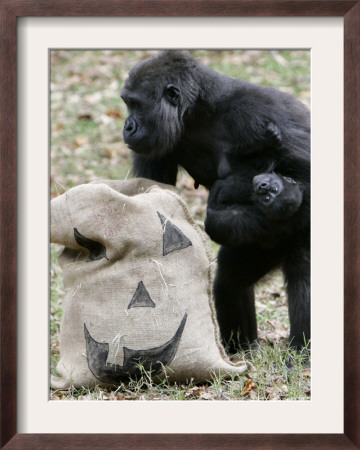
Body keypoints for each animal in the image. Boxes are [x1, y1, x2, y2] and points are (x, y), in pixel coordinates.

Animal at [120, 50, 310, 352]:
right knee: (231, 282)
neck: (199, 110)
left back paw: (300, 353)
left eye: (136, 104)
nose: (127, 126)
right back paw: (240, 350)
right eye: (128, 104)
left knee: (303, 276)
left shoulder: (258, 112)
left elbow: (306, 174)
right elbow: (151, 197)